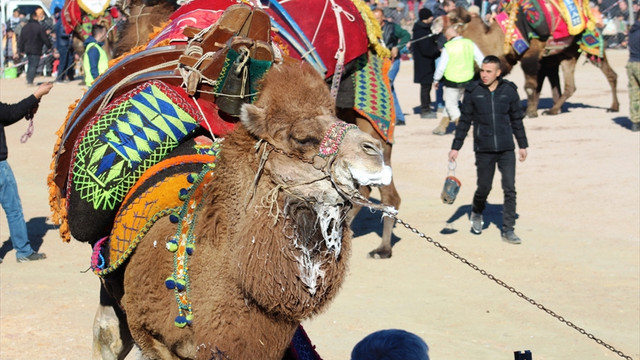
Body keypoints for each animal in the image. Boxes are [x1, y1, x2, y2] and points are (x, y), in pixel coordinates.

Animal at [448, 8, 616, 117]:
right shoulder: (543, 60)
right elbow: (538, 86)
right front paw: (531, 109)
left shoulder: (532, 55)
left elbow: (530, 86)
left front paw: (530, 112)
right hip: (568, 54)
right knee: (571, 86)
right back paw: (553, 110)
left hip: (589, 44)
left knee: (609, 72)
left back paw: (614, 107)